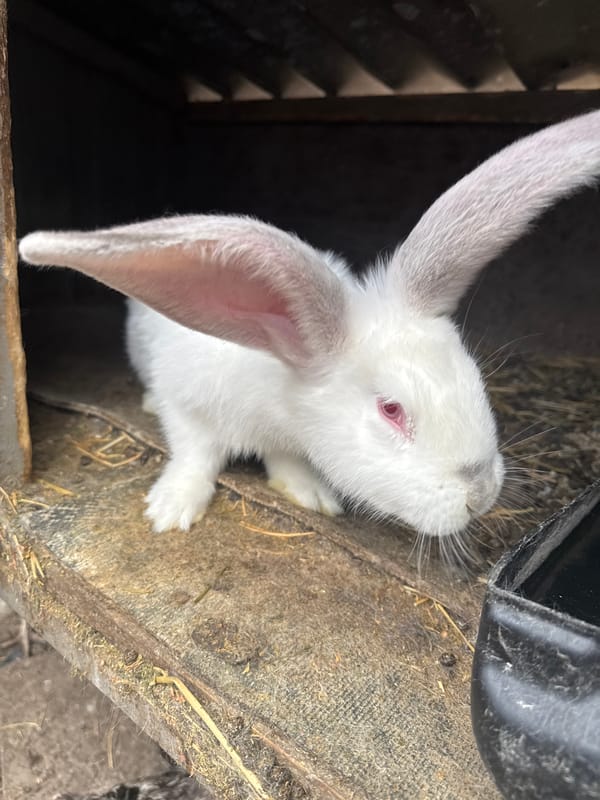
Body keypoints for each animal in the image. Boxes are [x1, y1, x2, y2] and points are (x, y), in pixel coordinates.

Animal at [19, 110, 600, 539]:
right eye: (391, 410)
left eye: (475, 380)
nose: (480, 496)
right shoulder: (189, 406)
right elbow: (195, 456)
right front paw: (170, 510)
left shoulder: (285, 436)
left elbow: (286, 461)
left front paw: (311, 494)